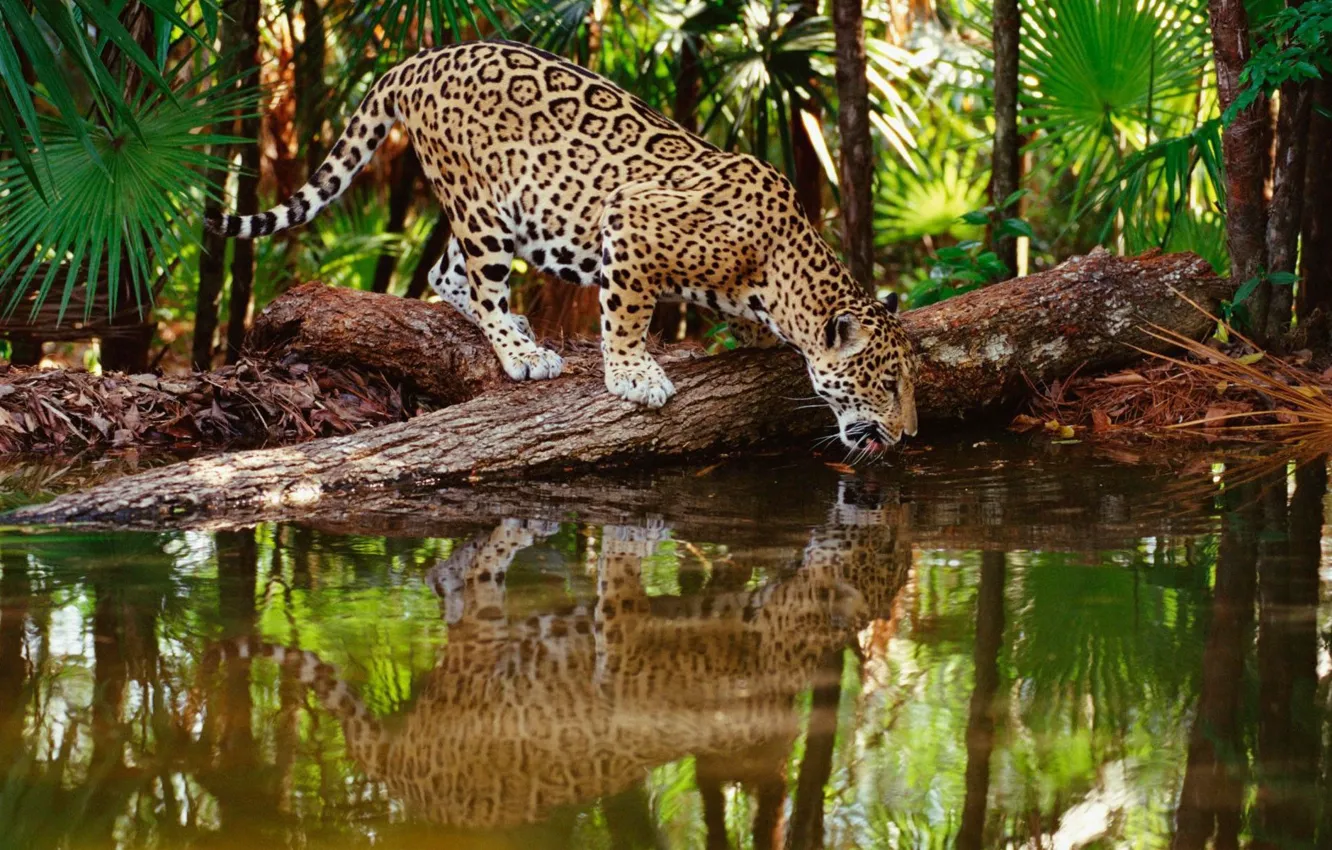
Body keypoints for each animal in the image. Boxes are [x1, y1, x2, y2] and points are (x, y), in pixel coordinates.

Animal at [205, 39, 919, 452]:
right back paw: (522, 352)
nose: (909, 433)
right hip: (482, 205)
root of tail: (419, 59)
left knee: (443, 271)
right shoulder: (630, 221)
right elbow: (627, 315)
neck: (781, 268)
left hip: (507, 213)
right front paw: (633, 374)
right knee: (481, 279)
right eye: (886, 383)